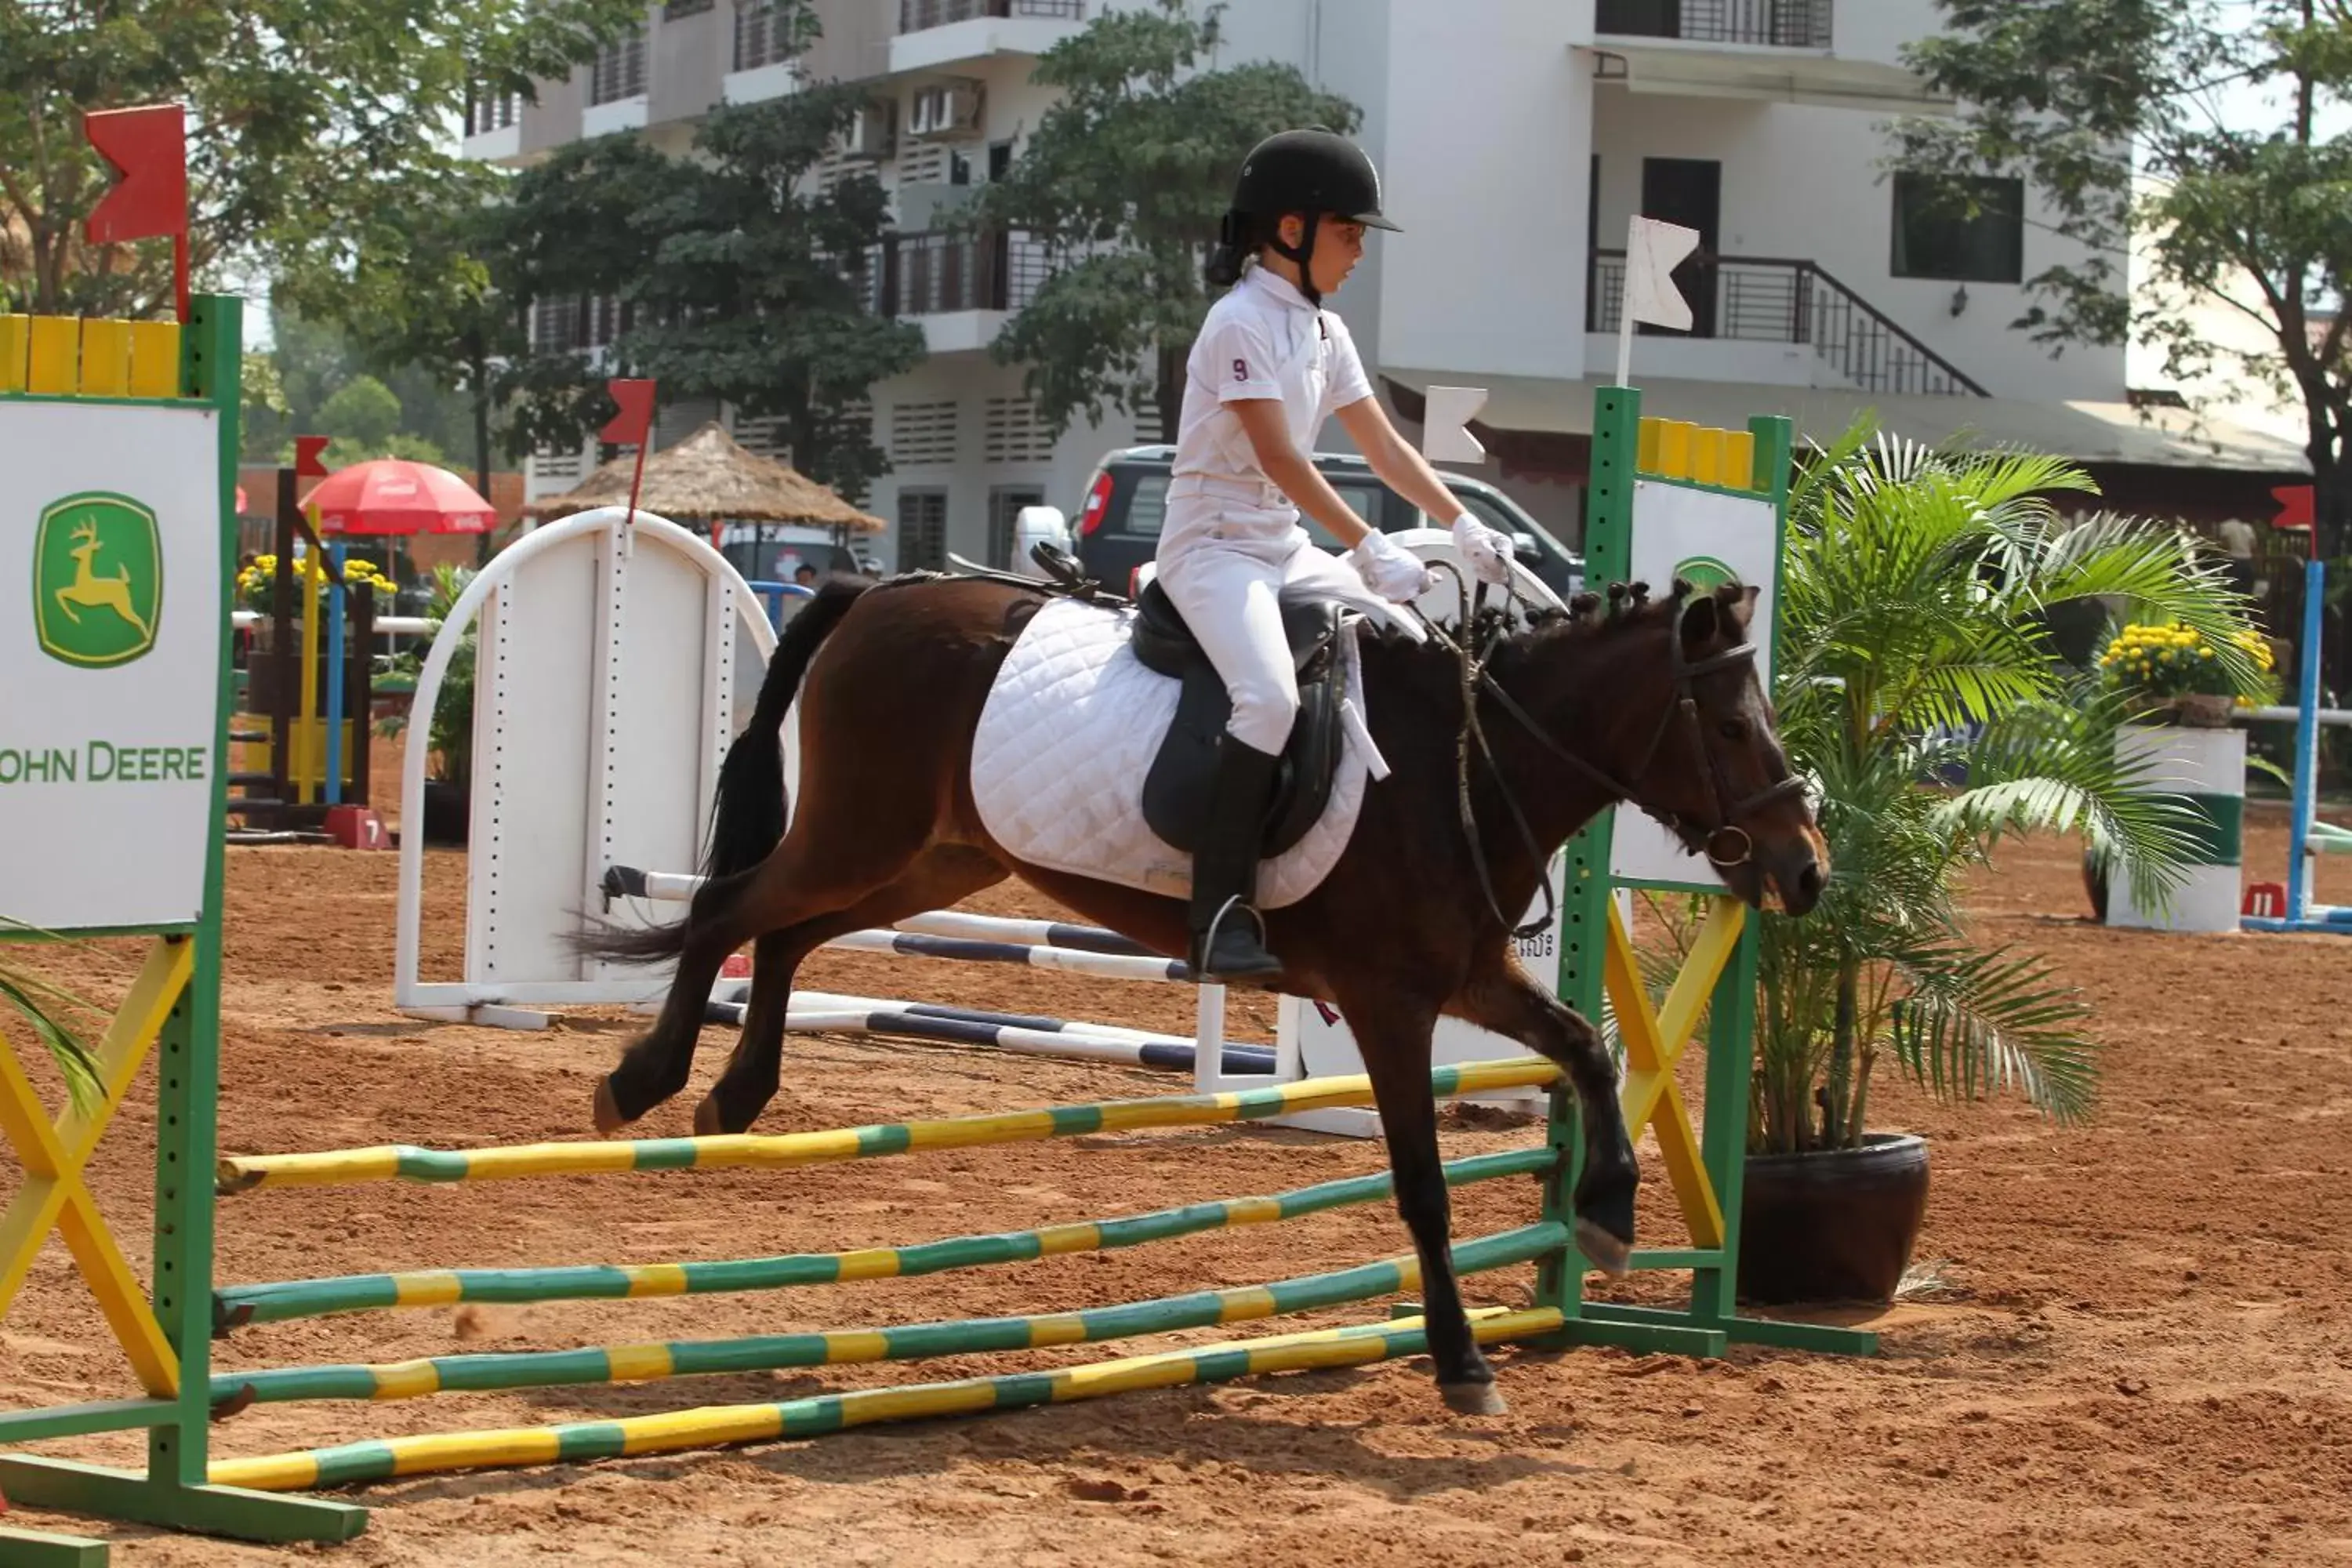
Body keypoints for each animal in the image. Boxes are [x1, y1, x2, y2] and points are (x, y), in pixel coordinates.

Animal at [579, 566, 1825, 1410]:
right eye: (1729, 724)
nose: (1806, 869)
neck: (1465, 764)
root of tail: (884, 590)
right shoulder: (1391, 1002)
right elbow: (1425, 1188)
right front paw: (1464, 1360)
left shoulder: (1471, 975)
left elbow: (1588, 1047)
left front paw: (1607, 1212)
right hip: (861, 835)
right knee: (727, 909)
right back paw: (644, 1081)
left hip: (927, 857)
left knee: (783, 935)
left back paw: (735, 1092)